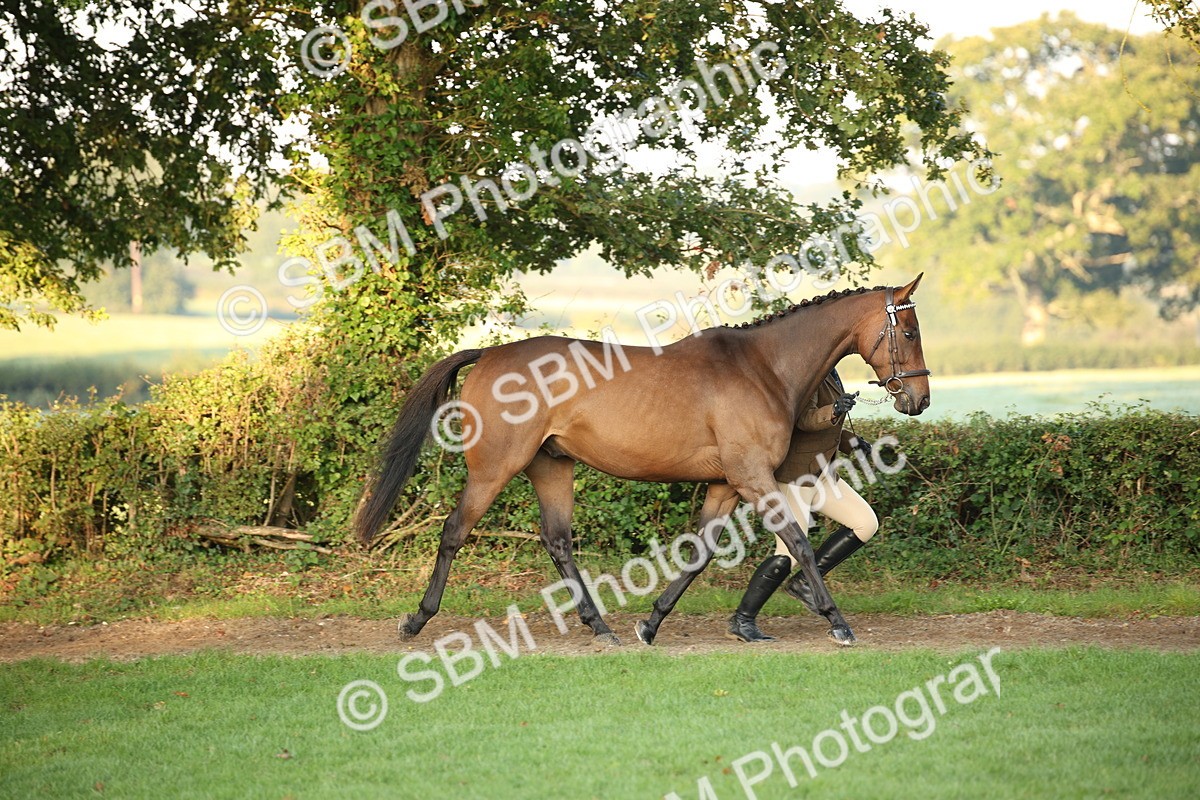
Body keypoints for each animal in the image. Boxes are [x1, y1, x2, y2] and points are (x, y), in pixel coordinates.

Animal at [355, 274, 930, 647]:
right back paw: (417, 621)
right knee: (455, 530)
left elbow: (699, 554)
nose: (919, 400)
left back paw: (602, 628)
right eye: (908, 332)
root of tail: (491, 353)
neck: (763, 367)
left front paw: (650, 624)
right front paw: (838, 623)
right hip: (496, 468)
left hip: (551, 466)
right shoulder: (753, 478)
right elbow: (799, 545)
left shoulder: (726, 484)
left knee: (558, 541)